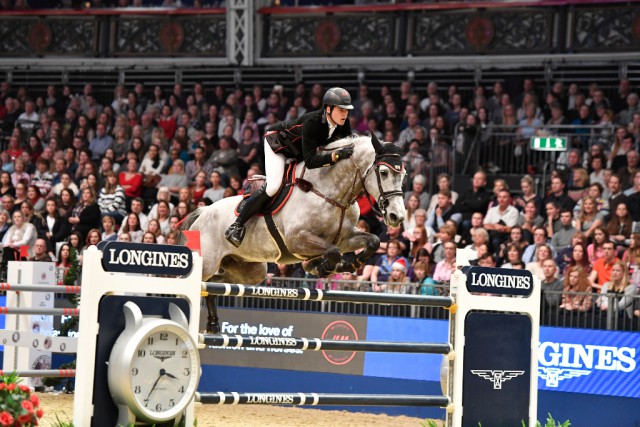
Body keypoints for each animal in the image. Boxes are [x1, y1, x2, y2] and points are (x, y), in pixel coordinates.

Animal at [180, 132, 408, 332]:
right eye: (384, 172)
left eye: (404, 174)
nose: (397, 216)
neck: (330, 192)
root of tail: (202, 213)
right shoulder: (297, 239)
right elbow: (333, 251)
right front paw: (322, 266)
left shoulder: (344, 238)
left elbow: (372, 241)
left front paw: (346, 264)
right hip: (208, 262)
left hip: (249, 271)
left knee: (212, 286)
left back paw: (212, 324)